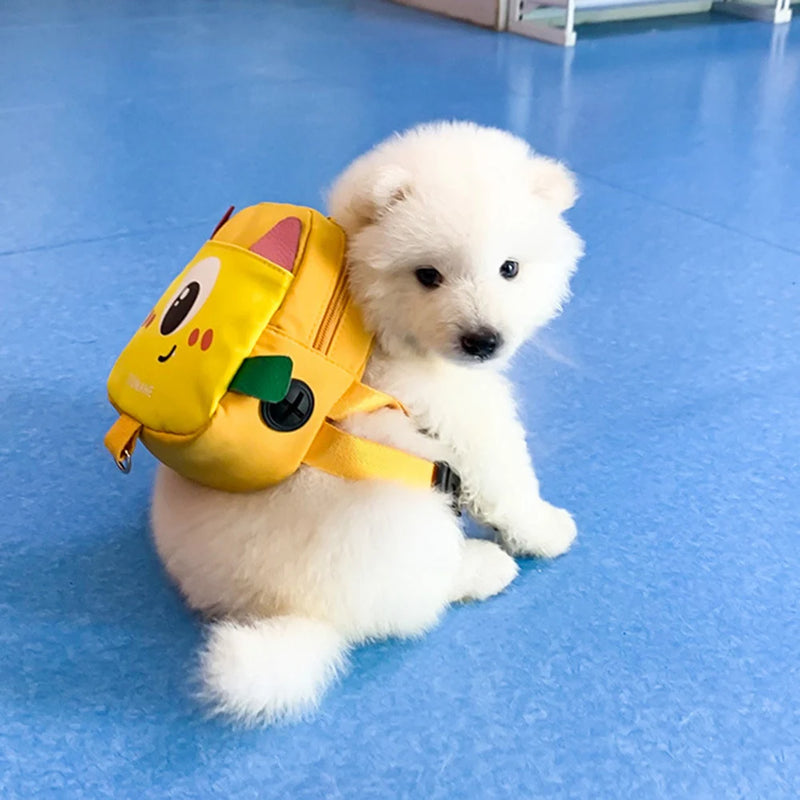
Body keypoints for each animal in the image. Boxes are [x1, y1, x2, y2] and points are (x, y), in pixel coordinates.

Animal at [152, 120, 580, 724]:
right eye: (428, 276)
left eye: (510, 268)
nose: (483, 340)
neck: (370, 319)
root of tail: (298, 612)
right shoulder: (463, 416)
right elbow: (507, 479)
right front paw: (544, 530)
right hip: (405, 505)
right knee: (419, 597)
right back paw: (483, 569)